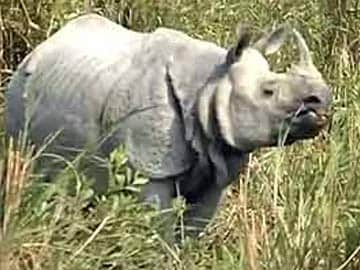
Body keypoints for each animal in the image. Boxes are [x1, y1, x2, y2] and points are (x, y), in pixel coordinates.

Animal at [4, 13, 332, 236]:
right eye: (268, 91)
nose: (322, 100)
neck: (209, 87)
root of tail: (39, 47)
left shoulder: (219, 162)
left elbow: (194, 227)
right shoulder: (151, 168)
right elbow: (159, 227)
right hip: (19, 94)